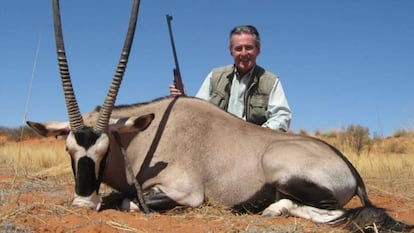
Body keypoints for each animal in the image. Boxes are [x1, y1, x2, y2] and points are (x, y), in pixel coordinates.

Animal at [27, 0, 412, 231]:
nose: (81, 202)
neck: (142, 138)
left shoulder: (184, 193)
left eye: (104, 152)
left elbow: (126, 201)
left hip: (285, 170)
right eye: (69, 150)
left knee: (337, 212)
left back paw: (273, 210)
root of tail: (349, 167)